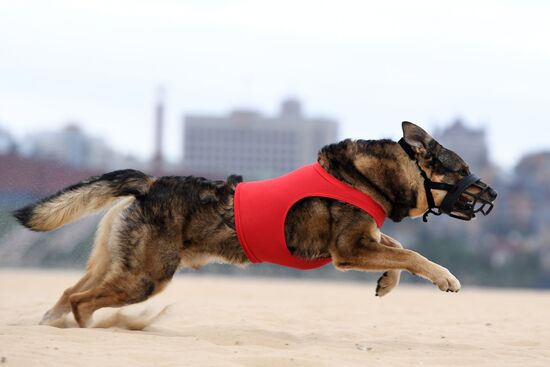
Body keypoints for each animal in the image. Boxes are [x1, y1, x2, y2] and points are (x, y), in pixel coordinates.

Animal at [12, 122, 498, 330]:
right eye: (462, 169)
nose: (493, 194)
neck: (367, 176)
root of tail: (149, 184)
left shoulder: (361, 242)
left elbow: (396, 248)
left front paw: (387, 281)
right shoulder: (349, 251)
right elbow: (412, 252)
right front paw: (445, 278)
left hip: (117, 265)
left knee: (69, 292)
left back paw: (52, 323)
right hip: (144, 277)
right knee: (82, 302)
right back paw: (88, 329)